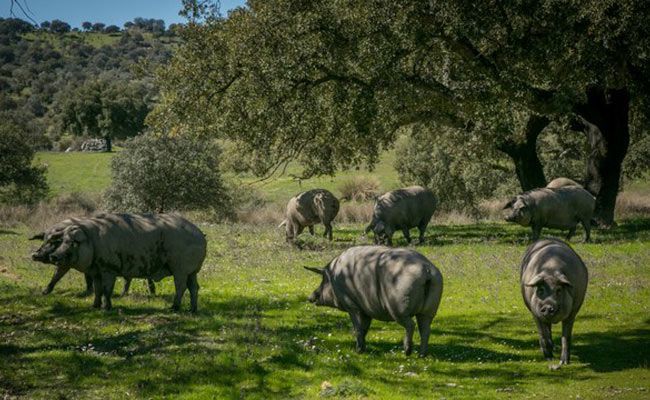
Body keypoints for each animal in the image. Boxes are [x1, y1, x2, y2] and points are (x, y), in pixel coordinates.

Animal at [31, 213, 206, 311]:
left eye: (73, 242)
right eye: (62, 241)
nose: (54, 256)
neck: (94, 241)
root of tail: (201, 235)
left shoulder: (109, 269)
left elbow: (107, 289)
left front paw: (106, 308)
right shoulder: (96, 271)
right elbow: (98, 289)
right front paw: (94, 306)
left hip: (180, 268)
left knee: (181, 286)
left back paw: (174, 308)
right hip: (192, 271)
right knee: (194, 287)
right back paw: (192, 310)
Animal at [305, 245, 443, 356]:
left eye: (324, 279)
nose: (310, 297)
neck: (335, 279)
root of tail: (426, 270)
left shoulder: (352, 305)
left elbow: (358, 328)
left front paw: (358, 351)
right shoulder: (366, 309)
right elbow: (365, 328)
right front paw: (363, 349)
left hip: (398, 306)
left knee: (411, 325)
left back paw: (407, 352)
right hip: (430, 308)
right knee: (425, 328)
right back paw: (422, 355)